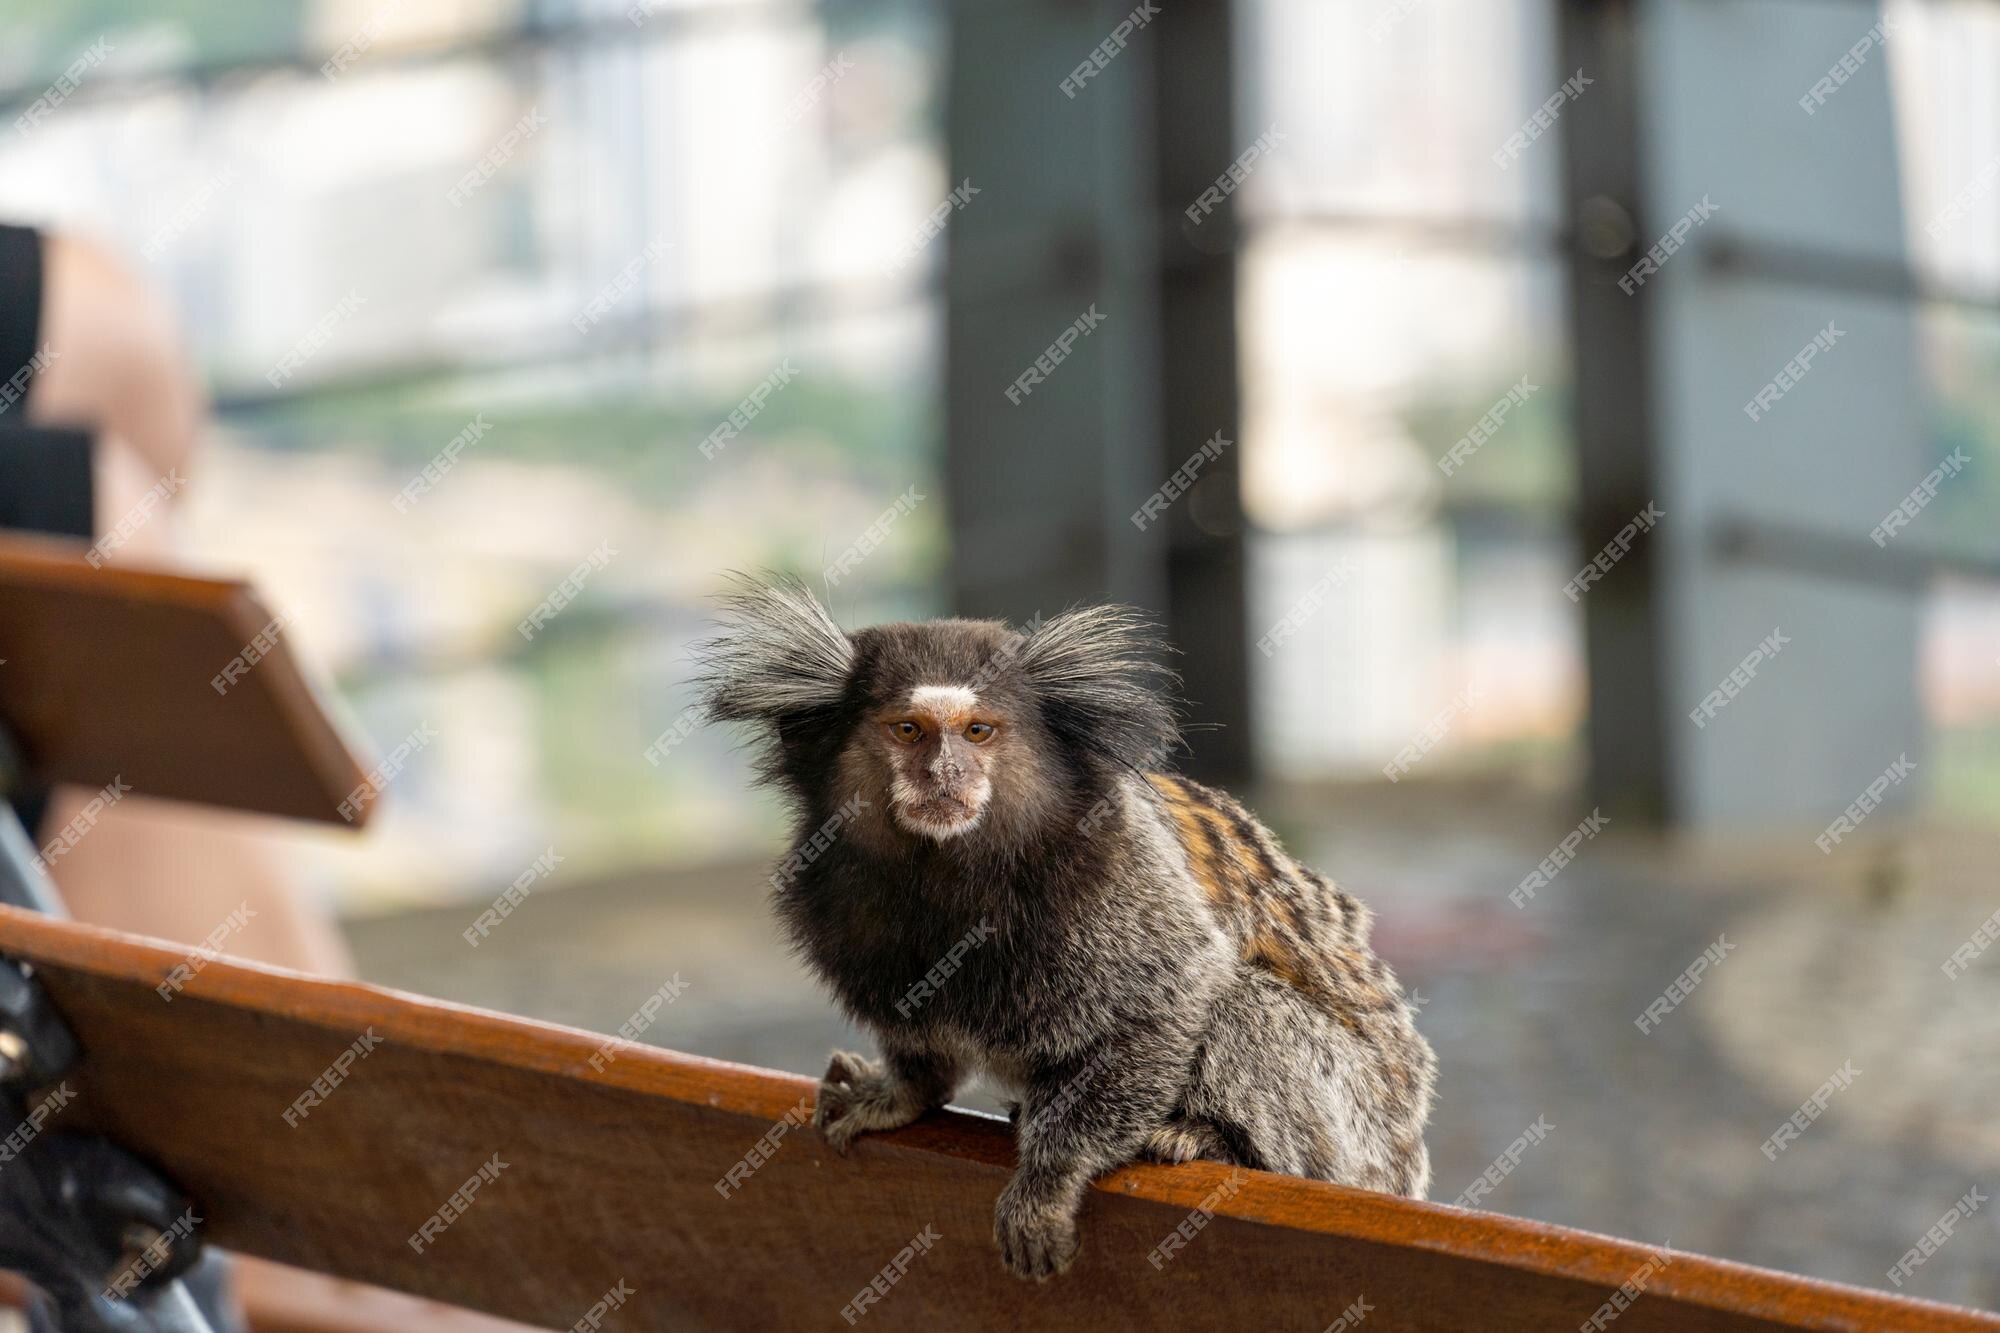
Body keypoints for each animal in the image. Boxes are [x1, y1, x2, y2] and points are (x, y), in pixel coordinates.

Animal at [696, 580, 1432, 1280]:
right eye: (908, 730)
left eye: (979, 731)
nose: (946, 773)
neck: (947, 873)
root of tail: (1401, 1164)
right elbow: (917, 1031)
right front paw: (903, 1092)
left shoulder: (1119, 871)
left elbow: (1166, 1003)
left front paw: (1048, 1181)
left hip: (1353, 1130)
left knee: (1243, 1006)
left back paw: (1207, 1137)